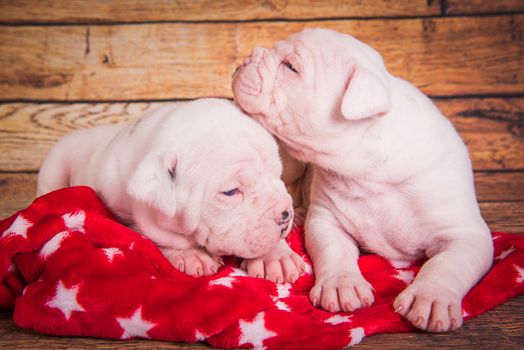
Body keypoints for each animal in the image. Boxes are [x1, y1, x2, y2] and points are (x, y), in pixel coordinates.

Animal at [37, 98, 302, 282]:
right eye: (230, 192)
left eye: (277, 175)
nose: (285, 213)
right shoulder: (124, 212)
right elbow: (155, 234)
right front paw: (189, 254)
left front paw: (276, 255)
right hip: (54, 163)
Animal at [231, 28, 494, 332]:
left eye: (291, 67)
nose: (247, 57)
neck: (368, 168)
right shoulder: (326, 220)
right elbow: (335, 251)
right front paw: (341, 285)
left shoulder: (467, 234)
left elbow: (446, 264)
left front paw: (430, 296)